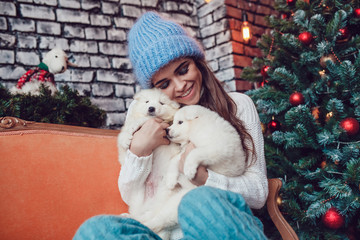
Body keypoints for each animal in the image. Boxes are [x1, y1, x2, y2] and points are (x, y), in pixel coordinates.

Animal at [117, 88, 197, 240]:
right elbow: (125, 134)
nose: (151, 108)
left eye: (161, 103)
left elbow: (146, 119)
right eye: (147, 101)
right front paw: (126, 138)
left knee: (155, 222)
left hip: (167, 204)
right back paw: (128, 217)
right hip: (138, 198)